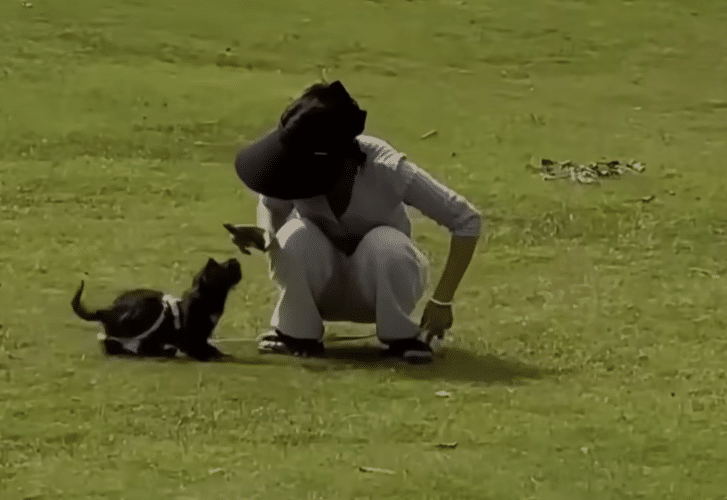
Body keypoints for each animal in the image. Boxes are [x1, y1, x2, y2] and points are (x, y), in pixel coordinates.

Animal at [71, 258, 242, 361]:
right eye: (224, 267)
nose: (235, 260)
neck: (205, 300)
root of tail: (108, 310)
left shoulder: (201, 337)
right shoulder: (193, 339)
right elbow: (201, 349)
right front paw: (209, 355)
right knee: (113, 345)